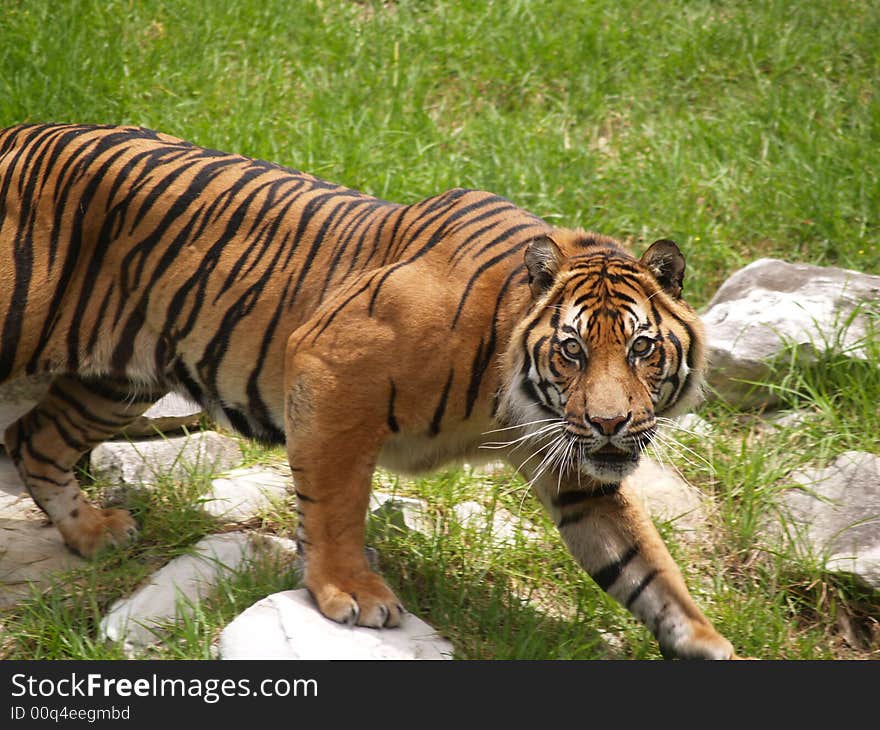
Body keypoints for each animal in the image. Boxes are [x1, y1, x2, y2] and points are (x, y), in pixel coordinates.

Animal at [0, 122, 740, 656]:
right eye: (572, 350)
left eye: (642, 349)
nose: (612, 423)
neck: (513, 400)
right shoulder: (332, 371)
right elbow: (336, 502)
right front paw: (351, 592)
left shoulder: (576, 469)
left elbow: (646, 567)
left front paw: (705, 641)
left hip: (116, 380)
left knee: (36, 441)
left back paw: (92, 533)